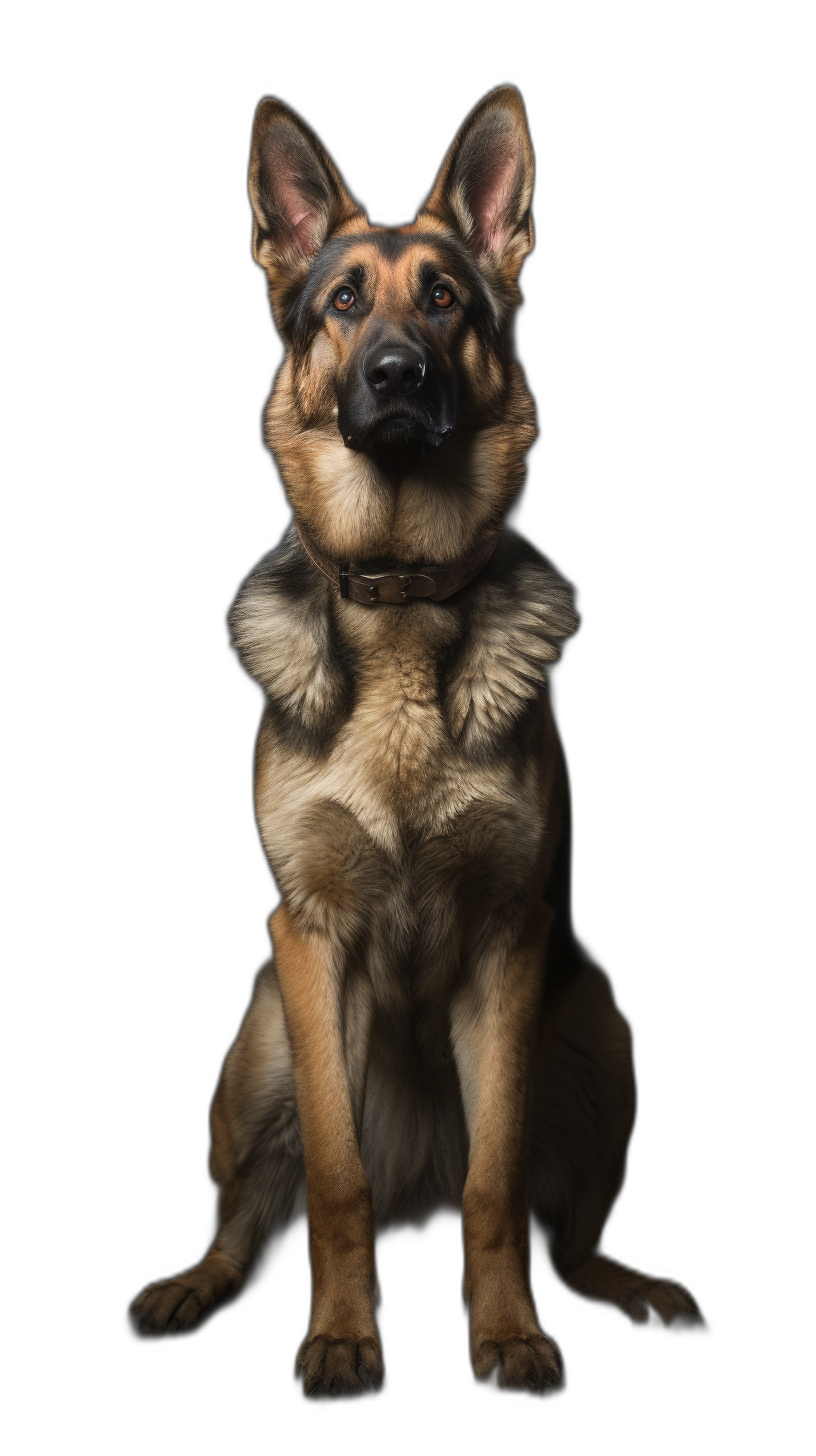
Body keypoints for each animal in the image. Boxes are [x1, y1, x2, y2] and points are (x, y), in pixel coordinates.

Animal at [128, 85, 702, 1391]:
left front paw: (510, 1335)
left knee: (560, 1223)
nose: (396, 372)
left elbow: (498, 1187)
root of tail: (417, 1178)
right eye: (346, 302)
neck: (399, 588)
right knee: (253, 1215)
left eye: (443, 297)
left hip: (601, 1034)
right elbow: (336, 1184)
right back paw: (193, 1285)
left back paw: (624, 1283)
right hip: (258, 1048)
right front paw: (343, 1336)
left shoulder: (509, 941)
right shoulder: (309, 935)